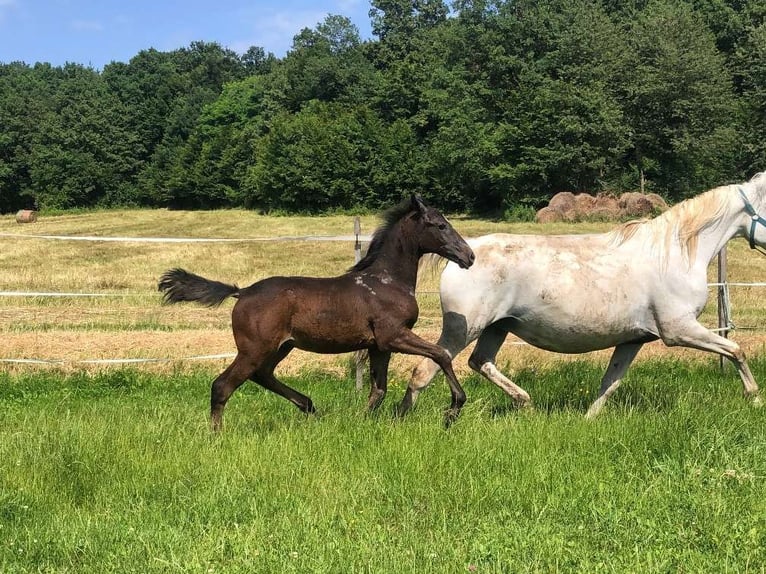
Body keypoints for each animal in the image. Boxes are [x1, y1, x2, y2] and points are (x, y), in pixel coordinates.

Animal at [402, 171, 766, 418]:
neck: (674, 253)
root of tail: (465, 254)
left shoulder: (633, 339)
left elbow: (610, 382)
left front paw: (589, 419)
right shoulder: (678, 330)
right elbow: (736, 350)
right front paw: (755, 398)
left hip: (497, 327)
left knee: (481, 362)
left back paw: (526, 403)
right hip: (463, 329)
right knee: (425, 371)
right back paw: (405, 418)